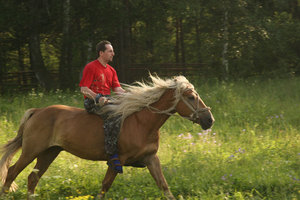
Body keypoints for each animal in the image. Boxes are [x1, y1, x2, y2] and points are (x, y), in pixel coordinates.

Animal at [1, 74, 214, 199]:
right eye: (191, 97)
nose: (209, 120)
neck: (141, 123)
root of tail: (37, 111)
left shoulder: (151, 158)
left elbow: (164, 186)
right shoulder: (116, 160)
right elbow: (105, 186)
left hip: (49, 152)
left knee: (32, 178)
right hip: (31, 151)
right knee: (12, 172)